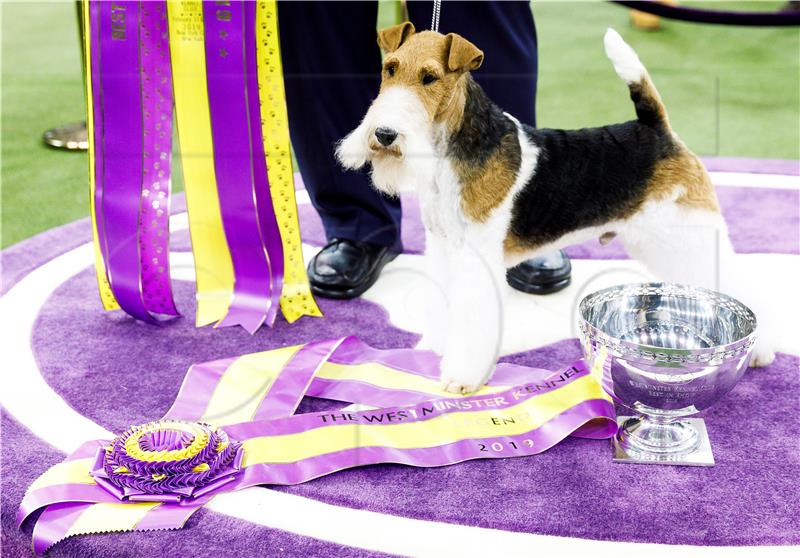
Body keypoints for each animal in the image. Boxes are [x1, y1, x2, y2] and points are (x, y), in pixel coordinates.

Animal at [334, 24, 772, 396]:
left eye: (429, 78)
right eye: (389, 69)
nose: (384, 135)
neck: (452, 153)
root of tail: (657, 129)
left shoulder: (477, 257)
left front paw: (462, 378)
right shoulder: (444, 246)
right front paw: (437, 346)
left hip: (688, 232)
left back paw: (760, 349)